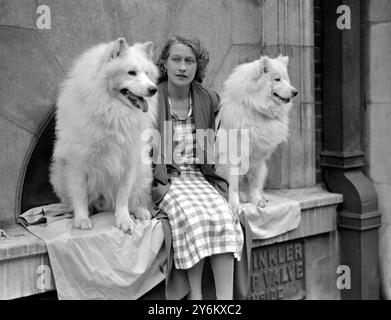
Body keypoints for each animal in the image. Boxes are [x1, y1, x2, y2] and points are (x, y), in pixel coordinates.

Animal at [50, 38, 159, 231]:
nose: (153, 89)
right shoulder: (77, 162)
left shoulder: (128, 163)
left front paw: (124, 220)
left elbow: (123, 198)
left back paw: (141, 212)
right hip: (57, 175)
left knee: (136, 199)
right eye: (131, 73)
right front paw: (82, 219)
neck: (113, 112)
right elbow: (80, 195)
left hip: (143, 172)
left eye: (147, 74)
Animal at [217, 54, 298, 210]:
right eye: (277, 79)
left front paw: (257, 200)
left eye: (286, 79)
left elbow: (254, 184)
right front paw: (235, 205)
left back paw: (261, 196)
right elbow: (234, 186)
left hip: (264, 169)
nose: (295, 92)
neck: (257, 110)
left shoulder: (257, 157)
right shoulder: (234, 157)